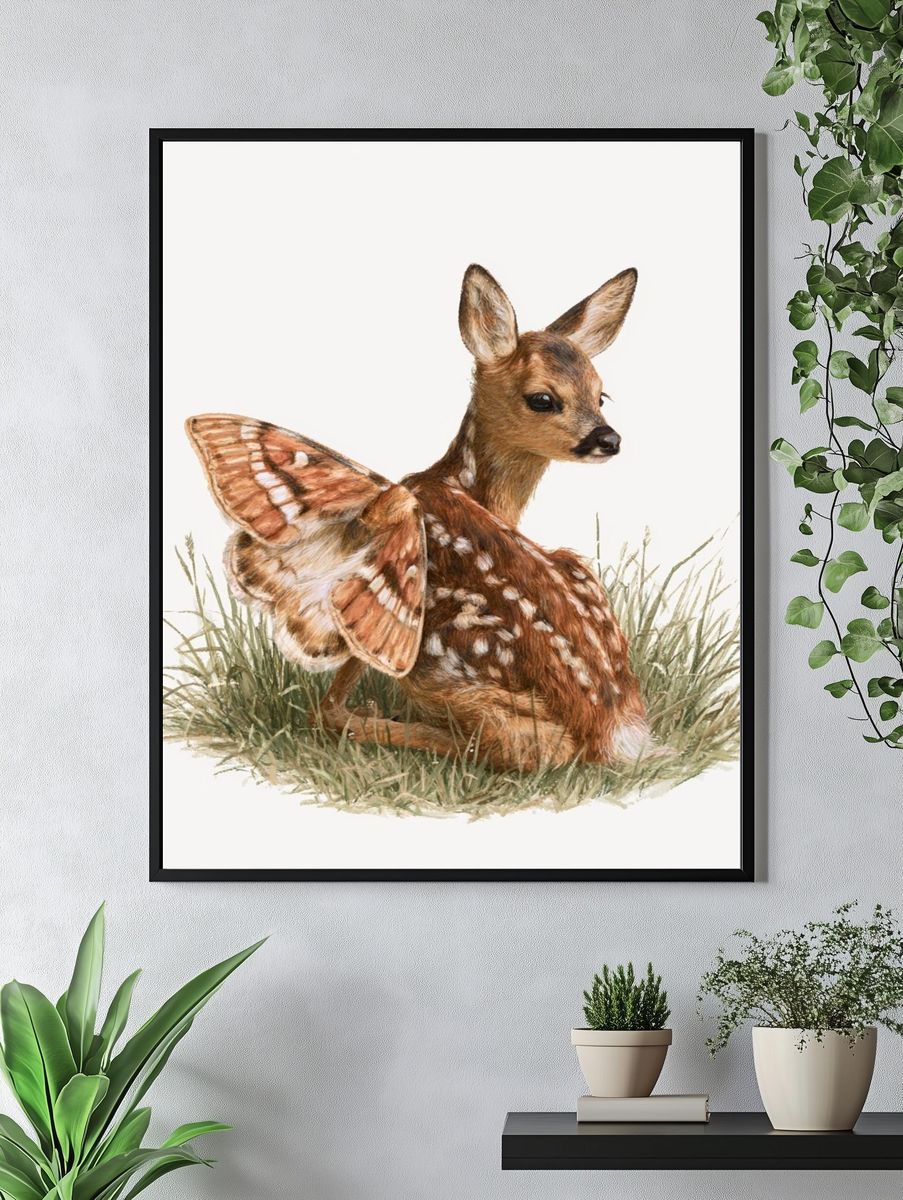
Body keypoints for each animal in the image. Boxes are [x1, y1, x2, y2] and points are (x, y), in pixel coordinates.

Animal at [186, 263, 653, 773]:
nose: (609, 439)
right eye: (543, 399)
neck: (463, 487)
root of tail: (609, 728)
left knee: (521, 745)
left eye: (602, 395)